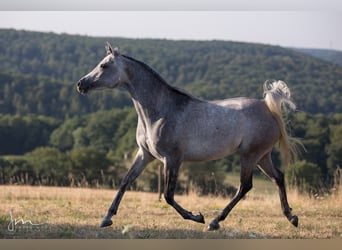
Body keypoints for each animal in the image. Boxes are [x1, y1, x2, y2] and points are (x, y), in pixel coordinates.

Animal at [77, 43, 300, 230]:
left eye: (104, 65)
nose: (81, 84)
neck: (161, 111)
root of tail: (268, 108)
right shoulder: (145, 155)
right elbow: (125, 181)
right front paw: (106, 218)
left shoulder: (172, 159)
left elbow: (168, 195)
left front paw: (197, 216)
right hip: (262, 156)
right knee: (278, 177)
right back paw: (291, 217)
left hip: (249, 156)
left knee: (245, 186)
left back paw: (214, 222)